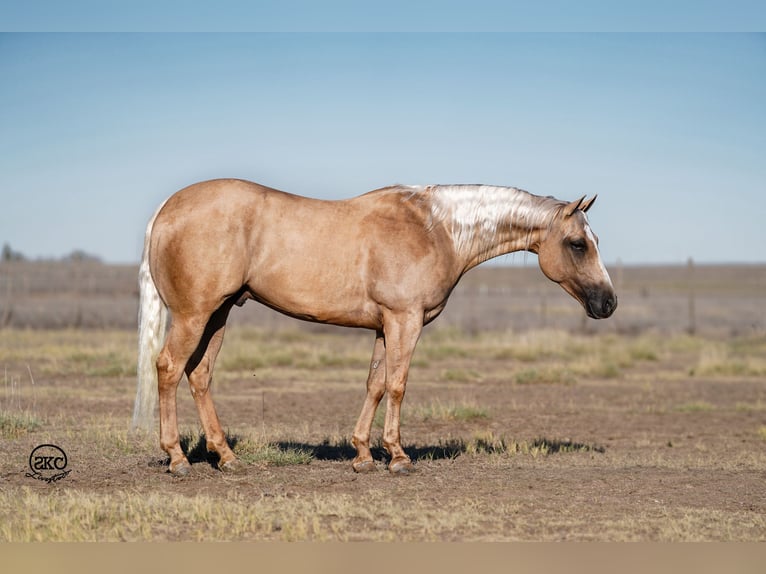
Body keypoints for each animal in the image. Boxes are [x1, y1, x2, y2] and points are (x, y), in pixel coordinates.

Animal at [134, 180, 616, 476]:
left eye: (594, 241)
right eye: (578, 244)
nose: (608, 303)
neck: (435, 229)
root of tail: (167, 209)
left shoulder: (386, 325)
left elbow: (376, 384)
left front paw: (364, 454)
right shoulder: (405, 319)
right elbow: (398, 385)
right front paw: (398, 456)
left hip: (219, 314)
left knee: (199, 376)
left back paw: (227, 457)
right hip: (195, 315)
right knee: (169, 368)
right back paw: (177, 458)